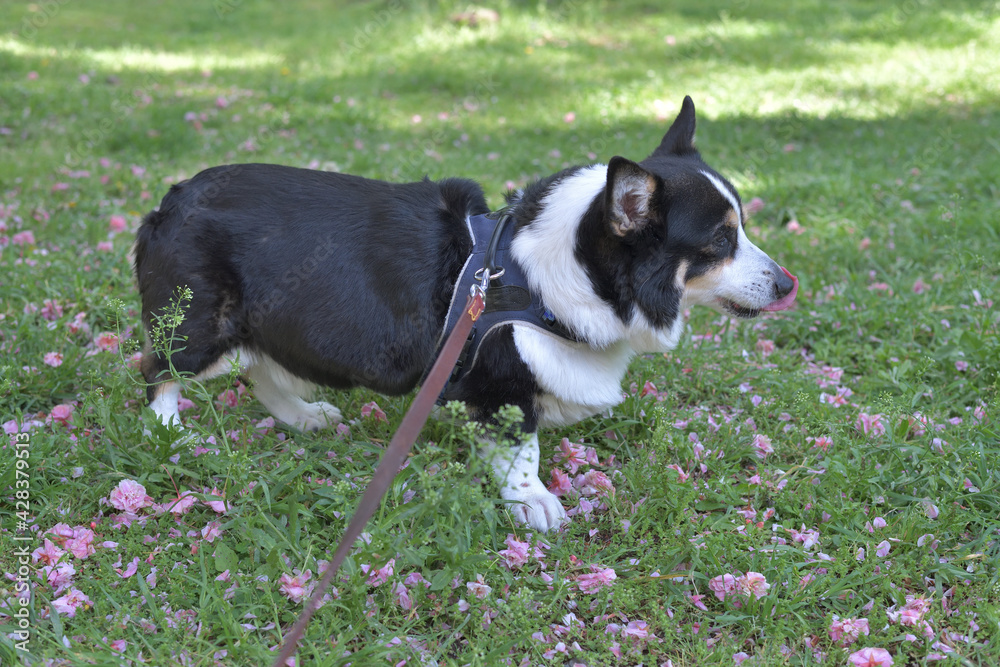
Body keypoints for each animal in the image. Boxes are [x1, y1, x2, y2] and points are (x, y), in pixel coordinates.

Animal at [137, 96, 800, 532]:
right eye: (719, 240)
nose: (789, 285)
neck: (561, 272)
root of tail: (174, 197)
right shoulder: (500, 384)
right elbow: (523, 451)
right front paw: (533, 503)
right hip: (202, 325)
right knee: (159, 371)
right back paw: (170, 432)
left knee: (261, 369)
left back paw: (303, 417)